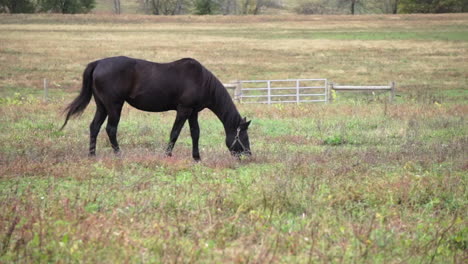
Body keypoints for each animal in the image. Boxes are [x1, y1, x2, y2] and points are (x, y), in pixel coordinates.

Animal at [63, 56, 252, 161]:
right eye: (244, 136)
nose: (248, 155)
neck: (201, 80)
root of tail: (98, 63)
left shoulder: (193, 112)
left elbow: (195, 133)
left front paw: (197, 158)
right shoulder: (183, 110)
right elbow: (175, 133)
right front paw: (167, 155)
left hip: (102, 106)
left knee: (94, 127)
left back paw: (92, 155)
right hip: (114, 106)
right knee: (111, 129)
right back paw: (118, 154)